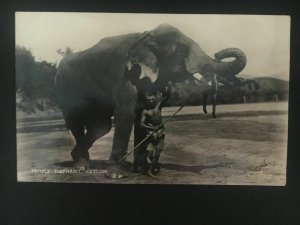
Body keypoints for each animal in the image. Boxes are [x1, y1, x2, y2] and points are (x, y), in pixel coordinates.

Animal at [55, 22, 247, 175]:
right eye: (180, 51)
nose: (218, 53)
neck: (145, 36)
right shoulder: (125, 76)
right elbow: (126, 114)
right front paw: (116, 174)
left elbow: (142, 113)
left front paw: (140, 170)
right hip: (64, 91)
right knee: (76, 122)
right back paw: (81, 165)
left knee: (102, 126)